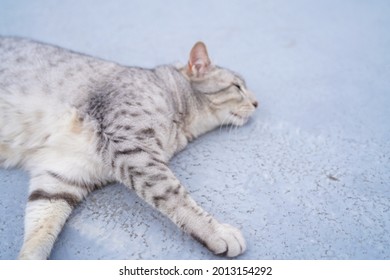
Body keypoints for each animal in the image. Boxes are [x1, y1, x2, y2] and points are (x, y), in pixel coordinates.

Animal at [0, 36, 258, 260]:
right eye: (237, 87)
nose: (257, 103)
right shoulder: (132, 147)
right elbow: (173, 195)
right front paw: (217, 232)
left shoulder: (62, 174)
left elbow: (41, 227)